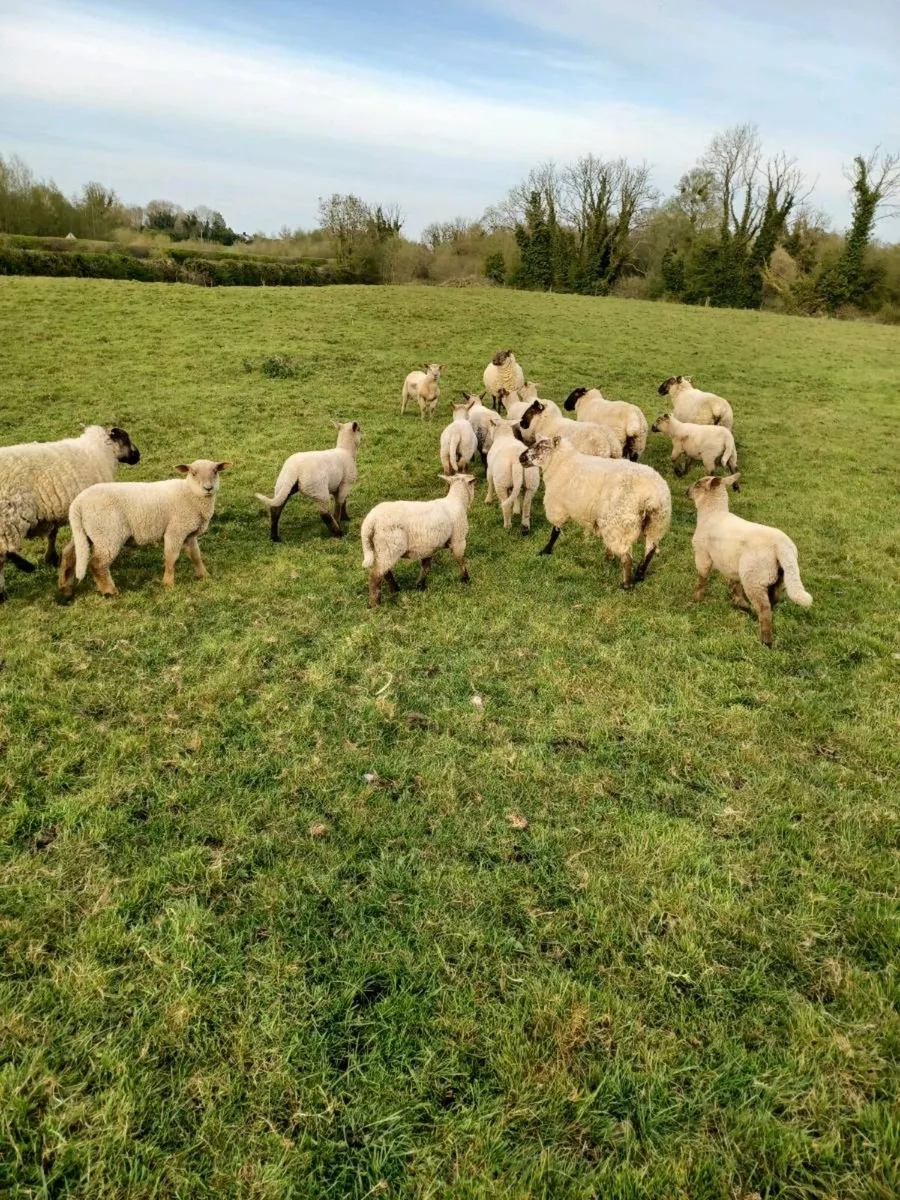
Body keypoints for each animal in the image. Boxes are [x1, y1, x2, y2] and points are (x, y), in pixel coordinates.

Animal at [0, 425, 140, 602]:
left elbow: (53, 534)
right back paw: (7, 587)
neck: (101, 452)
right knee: (1, 557)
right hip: (8, 519)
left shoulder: (52, 512)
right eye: (126, 439)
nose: (138, 456)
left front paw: (51, 557)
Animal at [58, 460, 231, 600]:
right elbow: (171, 557)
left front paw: (204, 575)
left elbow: (196, 555)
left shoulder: (188, 533)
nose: (208, 488)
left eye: (215, 471)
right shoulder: (175, 530)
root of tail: (77, 504)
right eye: (193, 473)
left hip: (87, 533)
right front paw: (168, 584)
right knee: (97, 564)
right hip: (108, 534)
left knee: (69, 554)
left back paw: (65, 588)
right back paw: (109, 591)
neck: (188, 493)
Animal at [361, 474, 475, 606]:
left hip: (381, 549)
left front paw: (420, 586)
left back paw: (395, 590)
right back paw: (376, 604)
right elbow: (460, 561)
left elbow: (426, 567)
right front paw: (466, 579)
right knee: (375, 577)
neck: (457, 500)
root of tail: (370, 521)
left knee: (385, 573)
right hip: (390, 548)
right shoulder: (458, 540)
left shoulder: (428, 547)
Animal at [519, 436, 671, 587]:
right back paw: (639, 574)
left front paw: (546, 551)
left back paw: (626, 585)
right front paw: (609, 555)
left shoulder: (558, 508)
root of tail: (652, 496)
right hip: (657, 523)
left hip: (620, 523)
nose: (521, 458)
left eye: (542, 446)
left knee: (627, 557)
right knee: (650, 550)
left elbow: (554, 532)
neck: (561, 463)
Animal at [688, 473, 811, 646]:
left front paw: (696, 600)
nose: (686, 491)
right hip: (778, 579)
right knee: (772, 602)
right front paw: (740, 604)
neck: (713, 513)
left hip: (754, 577)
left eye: (698, 485)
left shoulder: (702, 555)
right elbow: (735, 585)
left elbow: (701, 579)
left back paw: (766, 641)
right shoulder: (732, 565)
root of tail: (783, 547)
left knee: (764, 608)